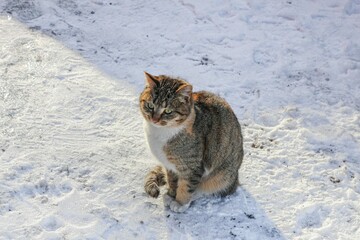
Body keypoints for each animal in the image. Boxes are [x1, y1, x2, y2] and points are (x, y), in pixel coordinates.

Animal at [139, 71, 243, 212]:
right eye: (150, 106)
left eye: (168, 111)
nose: (154, 120)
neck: (160, 133)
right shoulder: (169, 166)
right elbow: (172, 181)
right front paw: (171, 195)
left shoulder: (192, 166)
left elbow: (187, 185)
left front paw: (180, 203)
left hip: (223, 175)